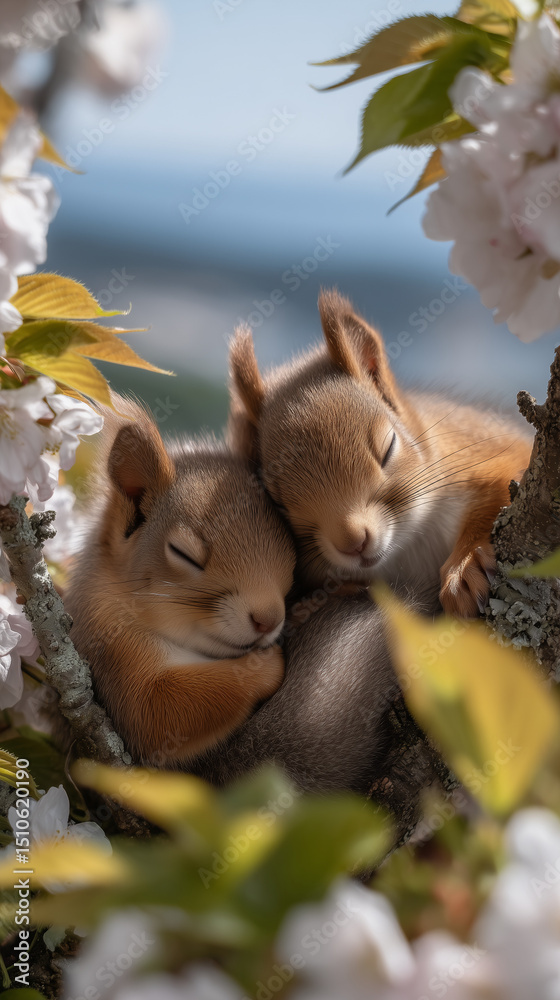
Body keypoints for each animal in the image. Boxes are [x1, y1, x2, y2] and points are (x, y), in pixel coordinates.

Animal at [64, 398, 295, 768]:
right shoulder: (111, 653)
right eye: (182, 553)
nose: (268, 619)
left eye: (291, 557)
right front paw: (261, 666)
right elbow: (158, 712)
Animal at [226, 289, 533, 616]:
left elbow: (500, 488)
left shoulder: (481, 451)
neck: (408, 548)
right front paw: (314, 601)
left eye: (388, 448)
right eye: (278, 501)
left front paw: (465, 566)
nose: (352, 542)